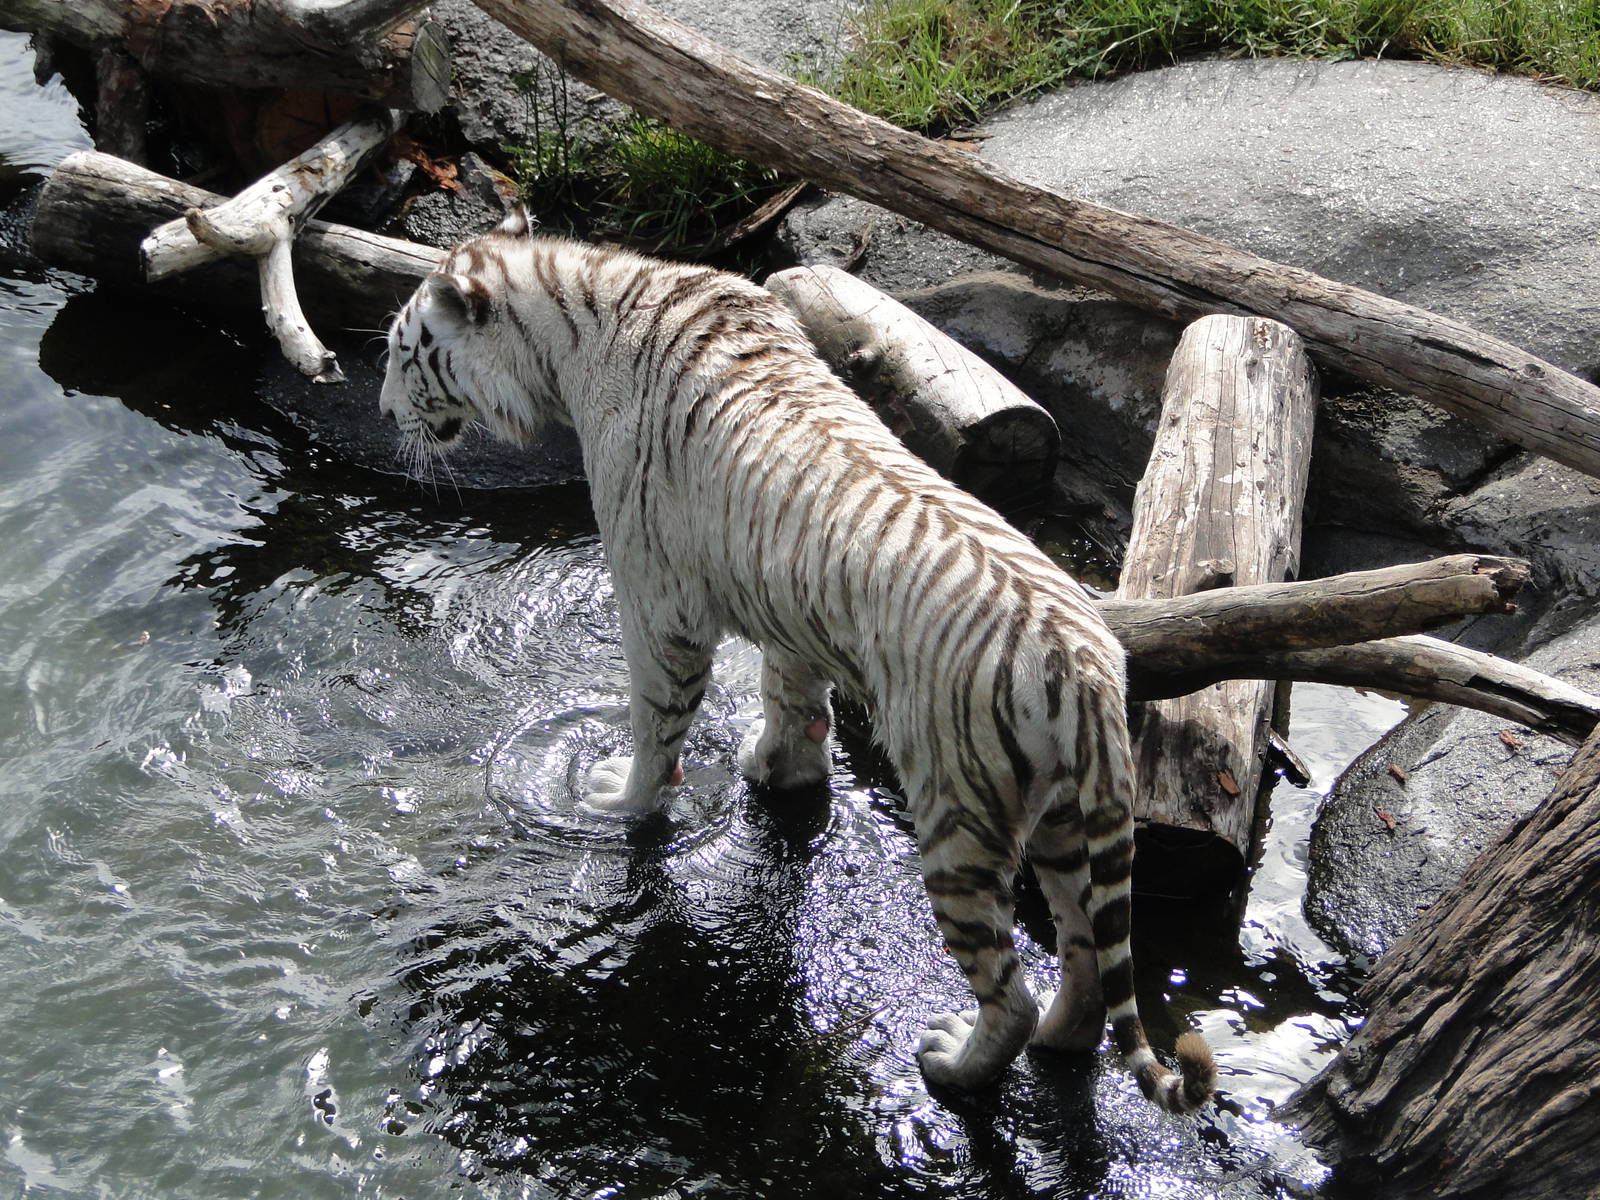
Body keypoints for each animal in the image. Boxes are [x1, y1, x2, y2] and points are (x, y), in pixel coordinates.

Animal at [378, 208, 1216, 1112]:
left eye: (400, 353)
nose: (385, 411)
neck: (571, 324)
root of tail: (1087, 665)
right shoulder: (785, 602)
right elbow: (788, 691)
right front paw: (779, 767)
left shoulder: (655, 596)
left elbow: (656, 722)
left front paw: (620, 799)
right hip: (1064, 821)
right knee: (1086, 955)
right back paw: (1062, 1040)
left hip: (957, 814)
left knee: (1009, 987)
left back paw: (956, 1063)